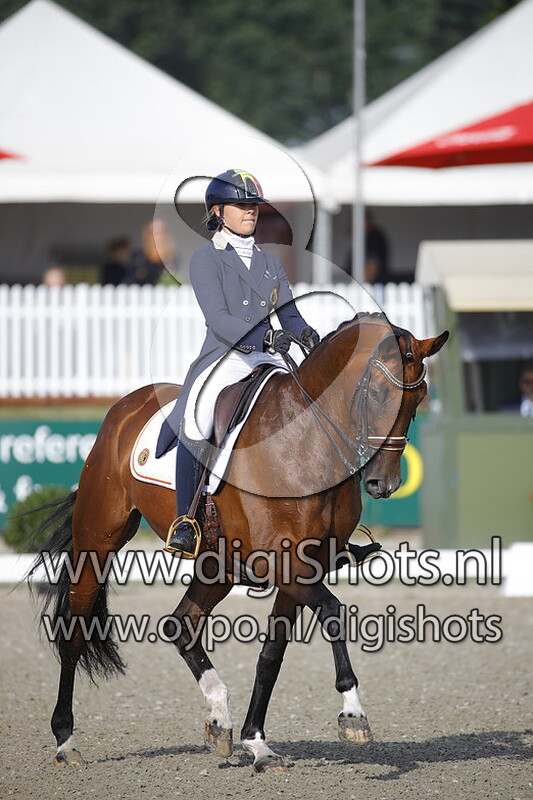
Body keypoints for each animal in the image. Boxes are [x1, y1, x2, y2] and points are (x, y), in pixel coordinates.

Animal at [29, 312, 448, 772]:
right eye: (374, 392)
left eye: (419, 398)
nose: (383, 484)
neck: (306, 442)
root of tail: (123, 408)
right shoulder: (280, 563)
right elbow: (333, 611)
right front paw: (353, 713)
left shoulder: (303, 567)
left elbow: (271, 655)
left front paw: (257, 742)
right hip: (98, 540)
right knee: (75, 631)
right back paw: (65, 740)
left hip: (218, 567)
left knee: (181, 625)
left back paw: (219, 719)